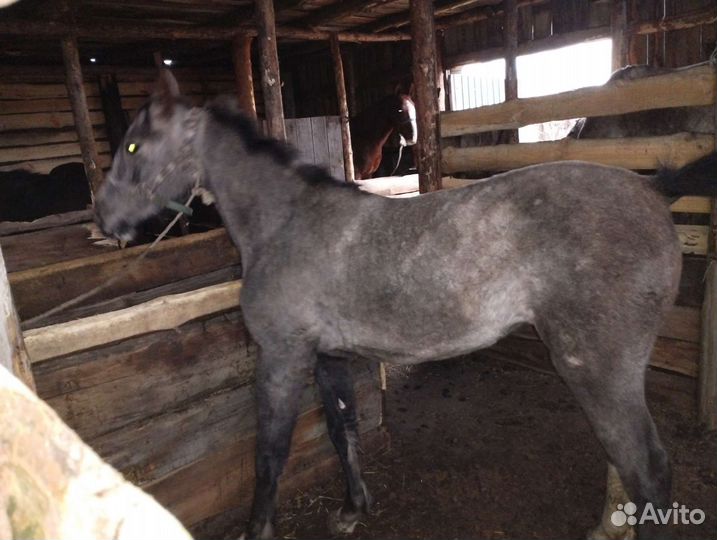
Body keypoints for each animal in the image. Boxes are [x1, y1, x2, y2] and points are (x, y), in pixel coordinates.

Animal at [95, 70, 717, 540]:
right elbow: (342, 429)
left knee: (648, 471)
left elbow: (268, 453)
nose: (102, 218)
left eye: (133, 144)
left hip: (596, 368)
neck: (287, 223)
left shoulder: (281, 359)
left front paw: (260, 529)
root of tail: (652, 189)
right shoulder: (328, 357)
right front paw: (353, 510)